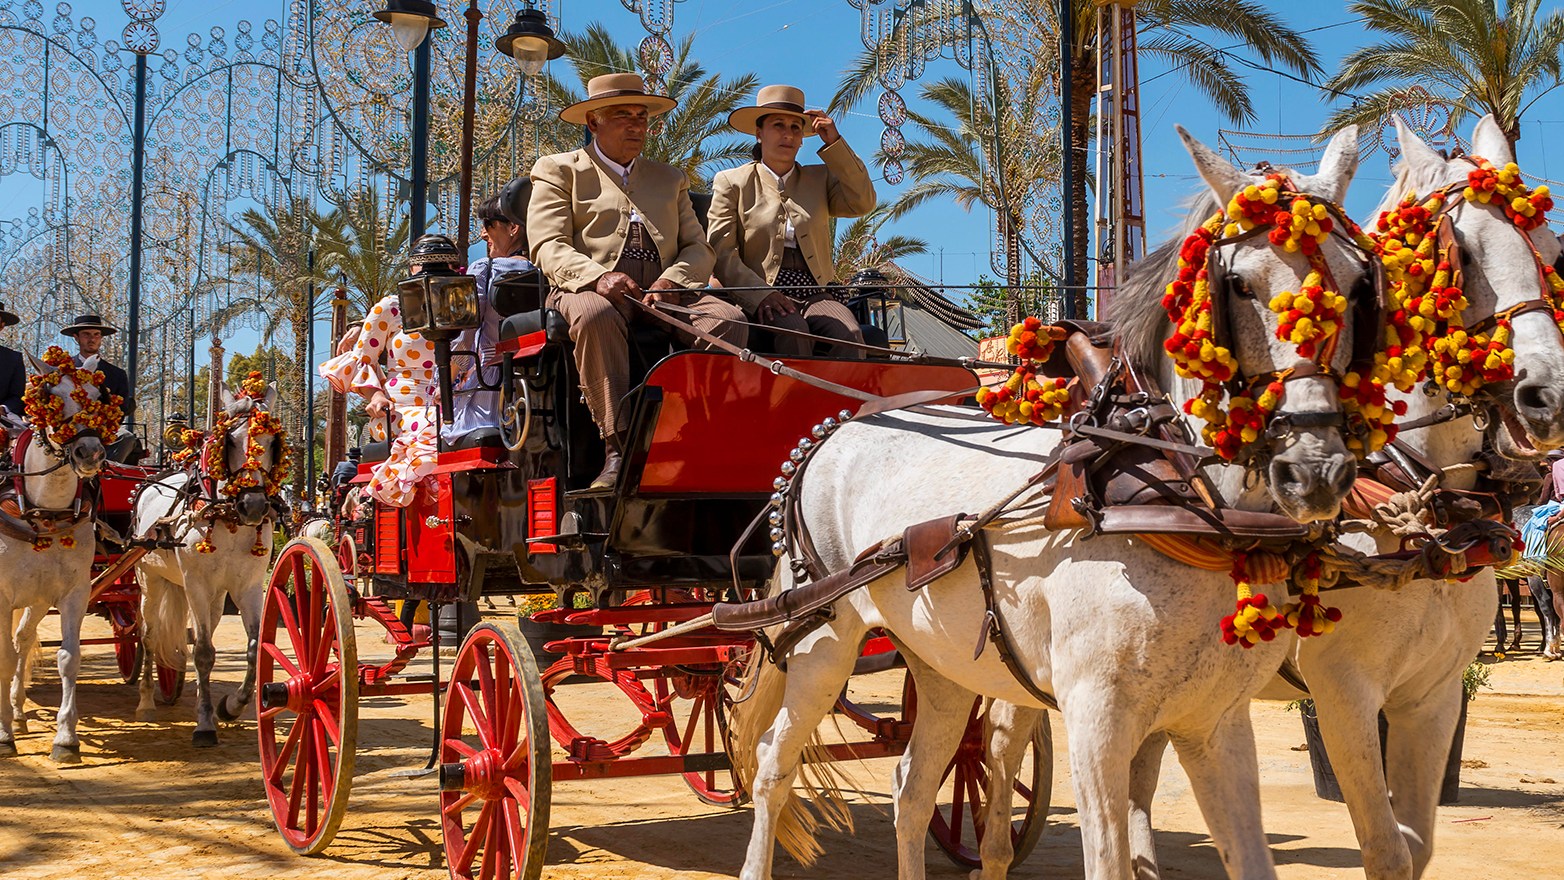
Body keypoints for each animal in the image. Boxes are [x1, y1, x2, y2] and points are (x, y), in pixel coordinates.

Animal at [0, 354, 111, 759]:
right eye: (51, 397)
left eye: (98, 395)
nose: (90, 452)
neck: (44, 510)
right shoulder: (1, 596)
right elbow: (2, 659)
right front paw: (3, 735)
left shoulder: (74, 593)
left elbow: (68, 658)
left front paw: (65, 737)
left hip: (36, 597)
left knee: (22, 639)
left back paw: (18, 711)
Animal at [132, 384, 283, 744]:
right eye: (230, 441)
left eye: (272, 442)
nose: (253, 505)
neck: (227, 518)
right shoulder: (196, 585)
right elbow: (202, 652)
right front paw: (203, 724)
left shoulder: (248, 587)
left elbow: (254, 647)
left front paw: (231, 706)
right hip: (150, 580)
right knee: (149, 635)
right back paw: (146, 701)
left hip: (215, 595)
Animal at [731, 125, 1370, 880]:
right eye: (1239, 284)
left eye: (1359, 285)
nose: (1316, 469)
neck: (1166, 492)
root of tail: (832, 430)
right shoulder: (1097, 723)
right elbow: (1109, 856)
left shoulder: (1214, 724)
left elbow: (1252, 857)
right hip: (823, 642)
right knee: (773, 767)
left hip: (941, 667)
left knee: (912, 789)